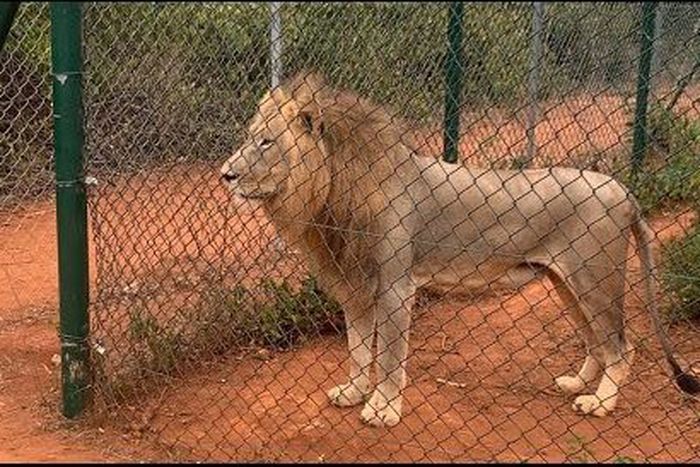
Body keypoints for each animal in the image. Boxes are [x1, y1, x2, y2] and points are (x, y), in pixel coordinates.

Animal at [220, 71, 699, 427]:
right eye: (251, 137)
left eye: (266, 142)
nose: (225, 174)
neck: (333, 190)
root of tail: (623, 189)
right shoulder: (355, 285)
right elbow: (358, 348)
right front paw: (354, 392)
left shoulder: (396, 288)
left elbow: (388, 355)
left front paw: (382, 409)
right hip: (566, 282)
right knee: (596, 341)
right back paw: (576, 384)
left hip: (594, 279)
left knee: (621, 346)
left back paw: (600, 404)